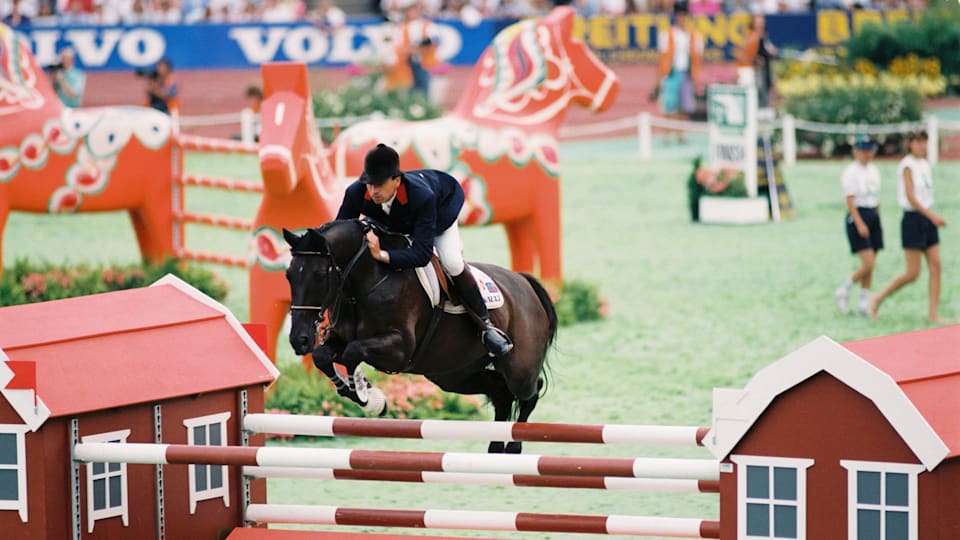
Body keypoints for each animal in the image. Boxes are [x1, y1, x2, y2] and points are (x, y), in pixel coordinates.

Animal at [282, 218, 560, 452]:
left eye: (320, 275)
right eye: (289, 275)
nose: (299, 340)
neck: (364, 282)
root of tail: (524, 282)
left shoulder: (399, 349)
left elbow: (352, 352)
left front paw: (365, 394)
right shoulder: (340, 339)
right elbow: (322, 356)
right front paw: (365, 394)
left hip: (518, 369)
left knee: (530, 391)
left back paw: (513, 447)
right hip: (453, 375)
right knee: (501, 393)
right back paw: (496, 447)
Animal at [326, 6, 620, 288]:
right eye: (580, 46)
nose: (614, 88)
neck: (517, 120)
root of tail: (339, 142)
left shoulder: (517, 219)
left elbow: (524, 257)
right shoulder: (544, 205)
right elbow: (551, 261)